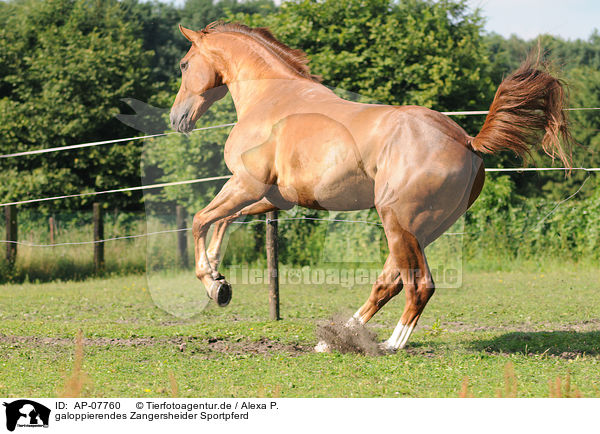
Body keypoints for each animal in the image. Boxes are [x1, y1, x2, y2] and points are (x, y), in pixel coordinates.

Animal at [170, 21, 572, 352]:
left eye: (184, 65)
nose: (177, 119)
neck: (272, 101)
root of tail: (468, 142)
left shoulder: (247, 185)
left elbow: (200, 219)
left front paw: (212, 283)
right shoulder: (273, 198)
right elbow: (222, 221)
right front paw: (219, 280)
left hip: (398, 222)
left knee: (417, 286)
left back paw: (390, 344)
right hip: (421, 231)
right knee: (388, 283)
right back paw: (335, 339)